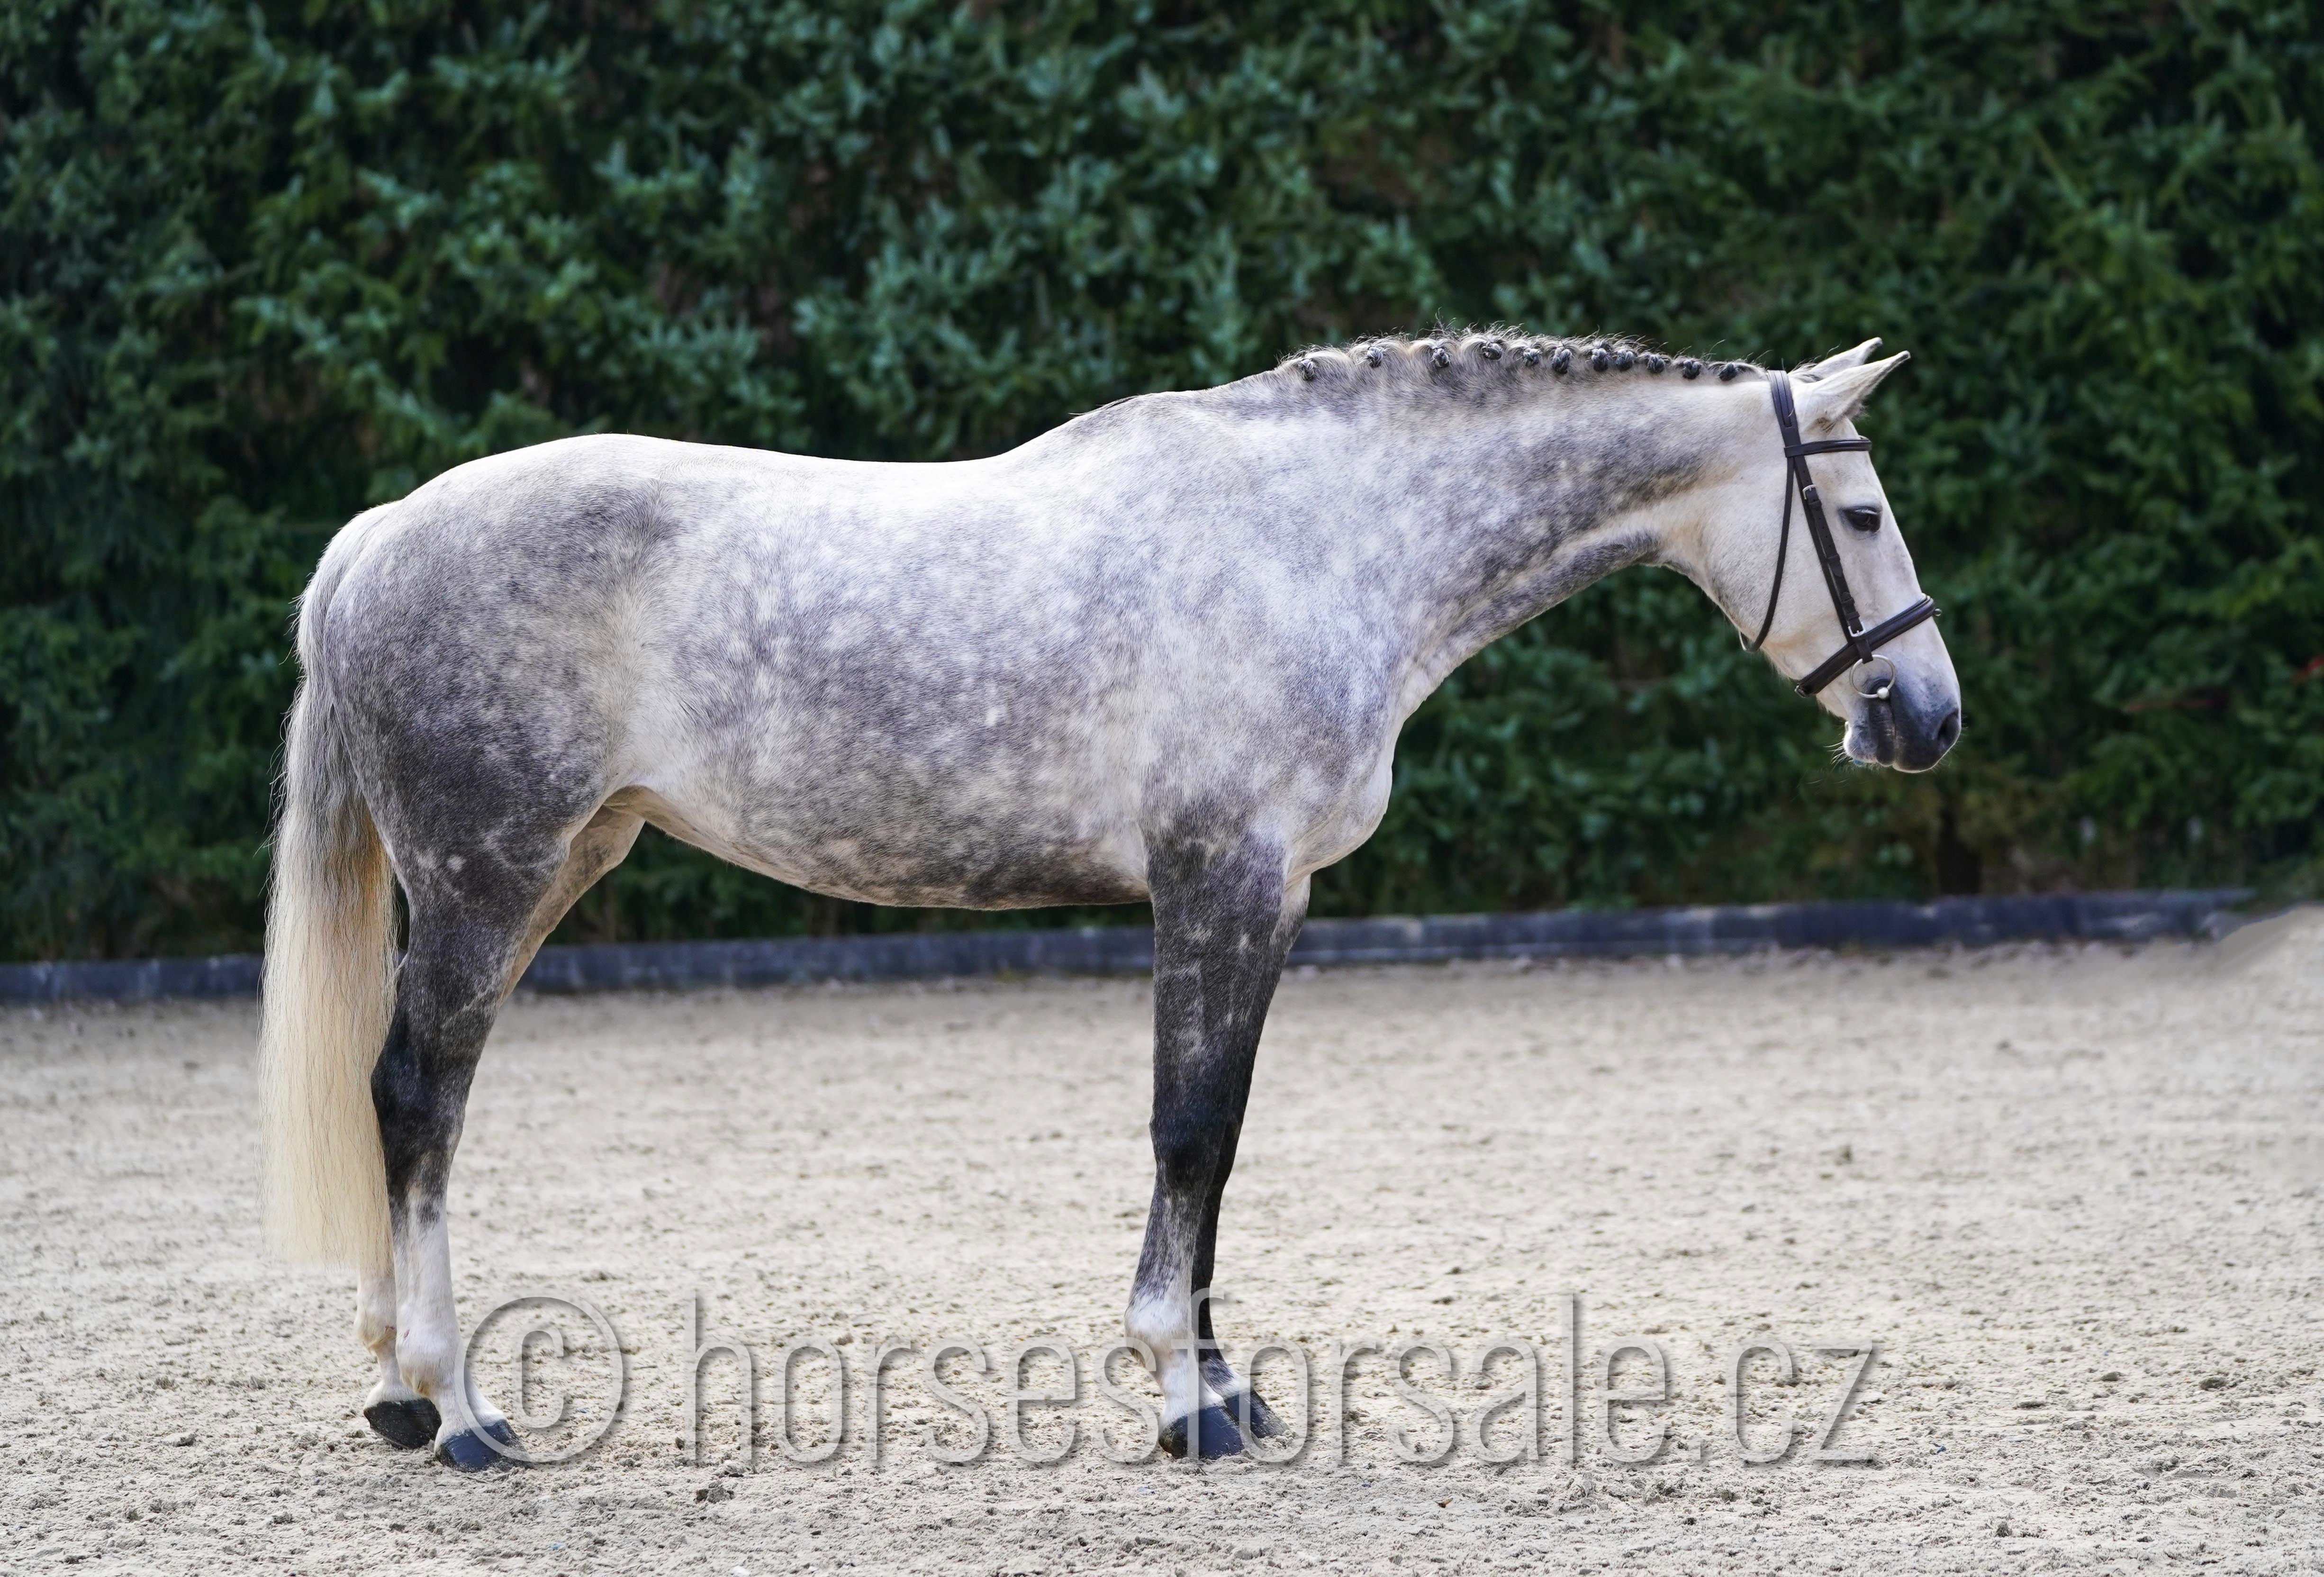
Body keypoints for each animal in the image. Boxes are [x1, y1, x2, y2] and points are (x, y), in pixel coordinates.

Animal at [258, 329, 1960, 1468]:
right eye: (1863, 516)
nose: (1929, 717)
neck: (1319, 544)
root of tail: (373, 541)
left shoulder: (1259, 897)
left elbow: (1219, 1133)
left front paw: (1223, 1384)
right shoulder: (1225, 880)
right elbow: (1192, 1126)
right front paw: (1186, 1395)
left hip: (555, 868)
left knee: (414, 1100)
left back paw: (398, 1385)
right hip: (488, 879)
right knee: (415, 1094)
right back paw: (458, 1408)